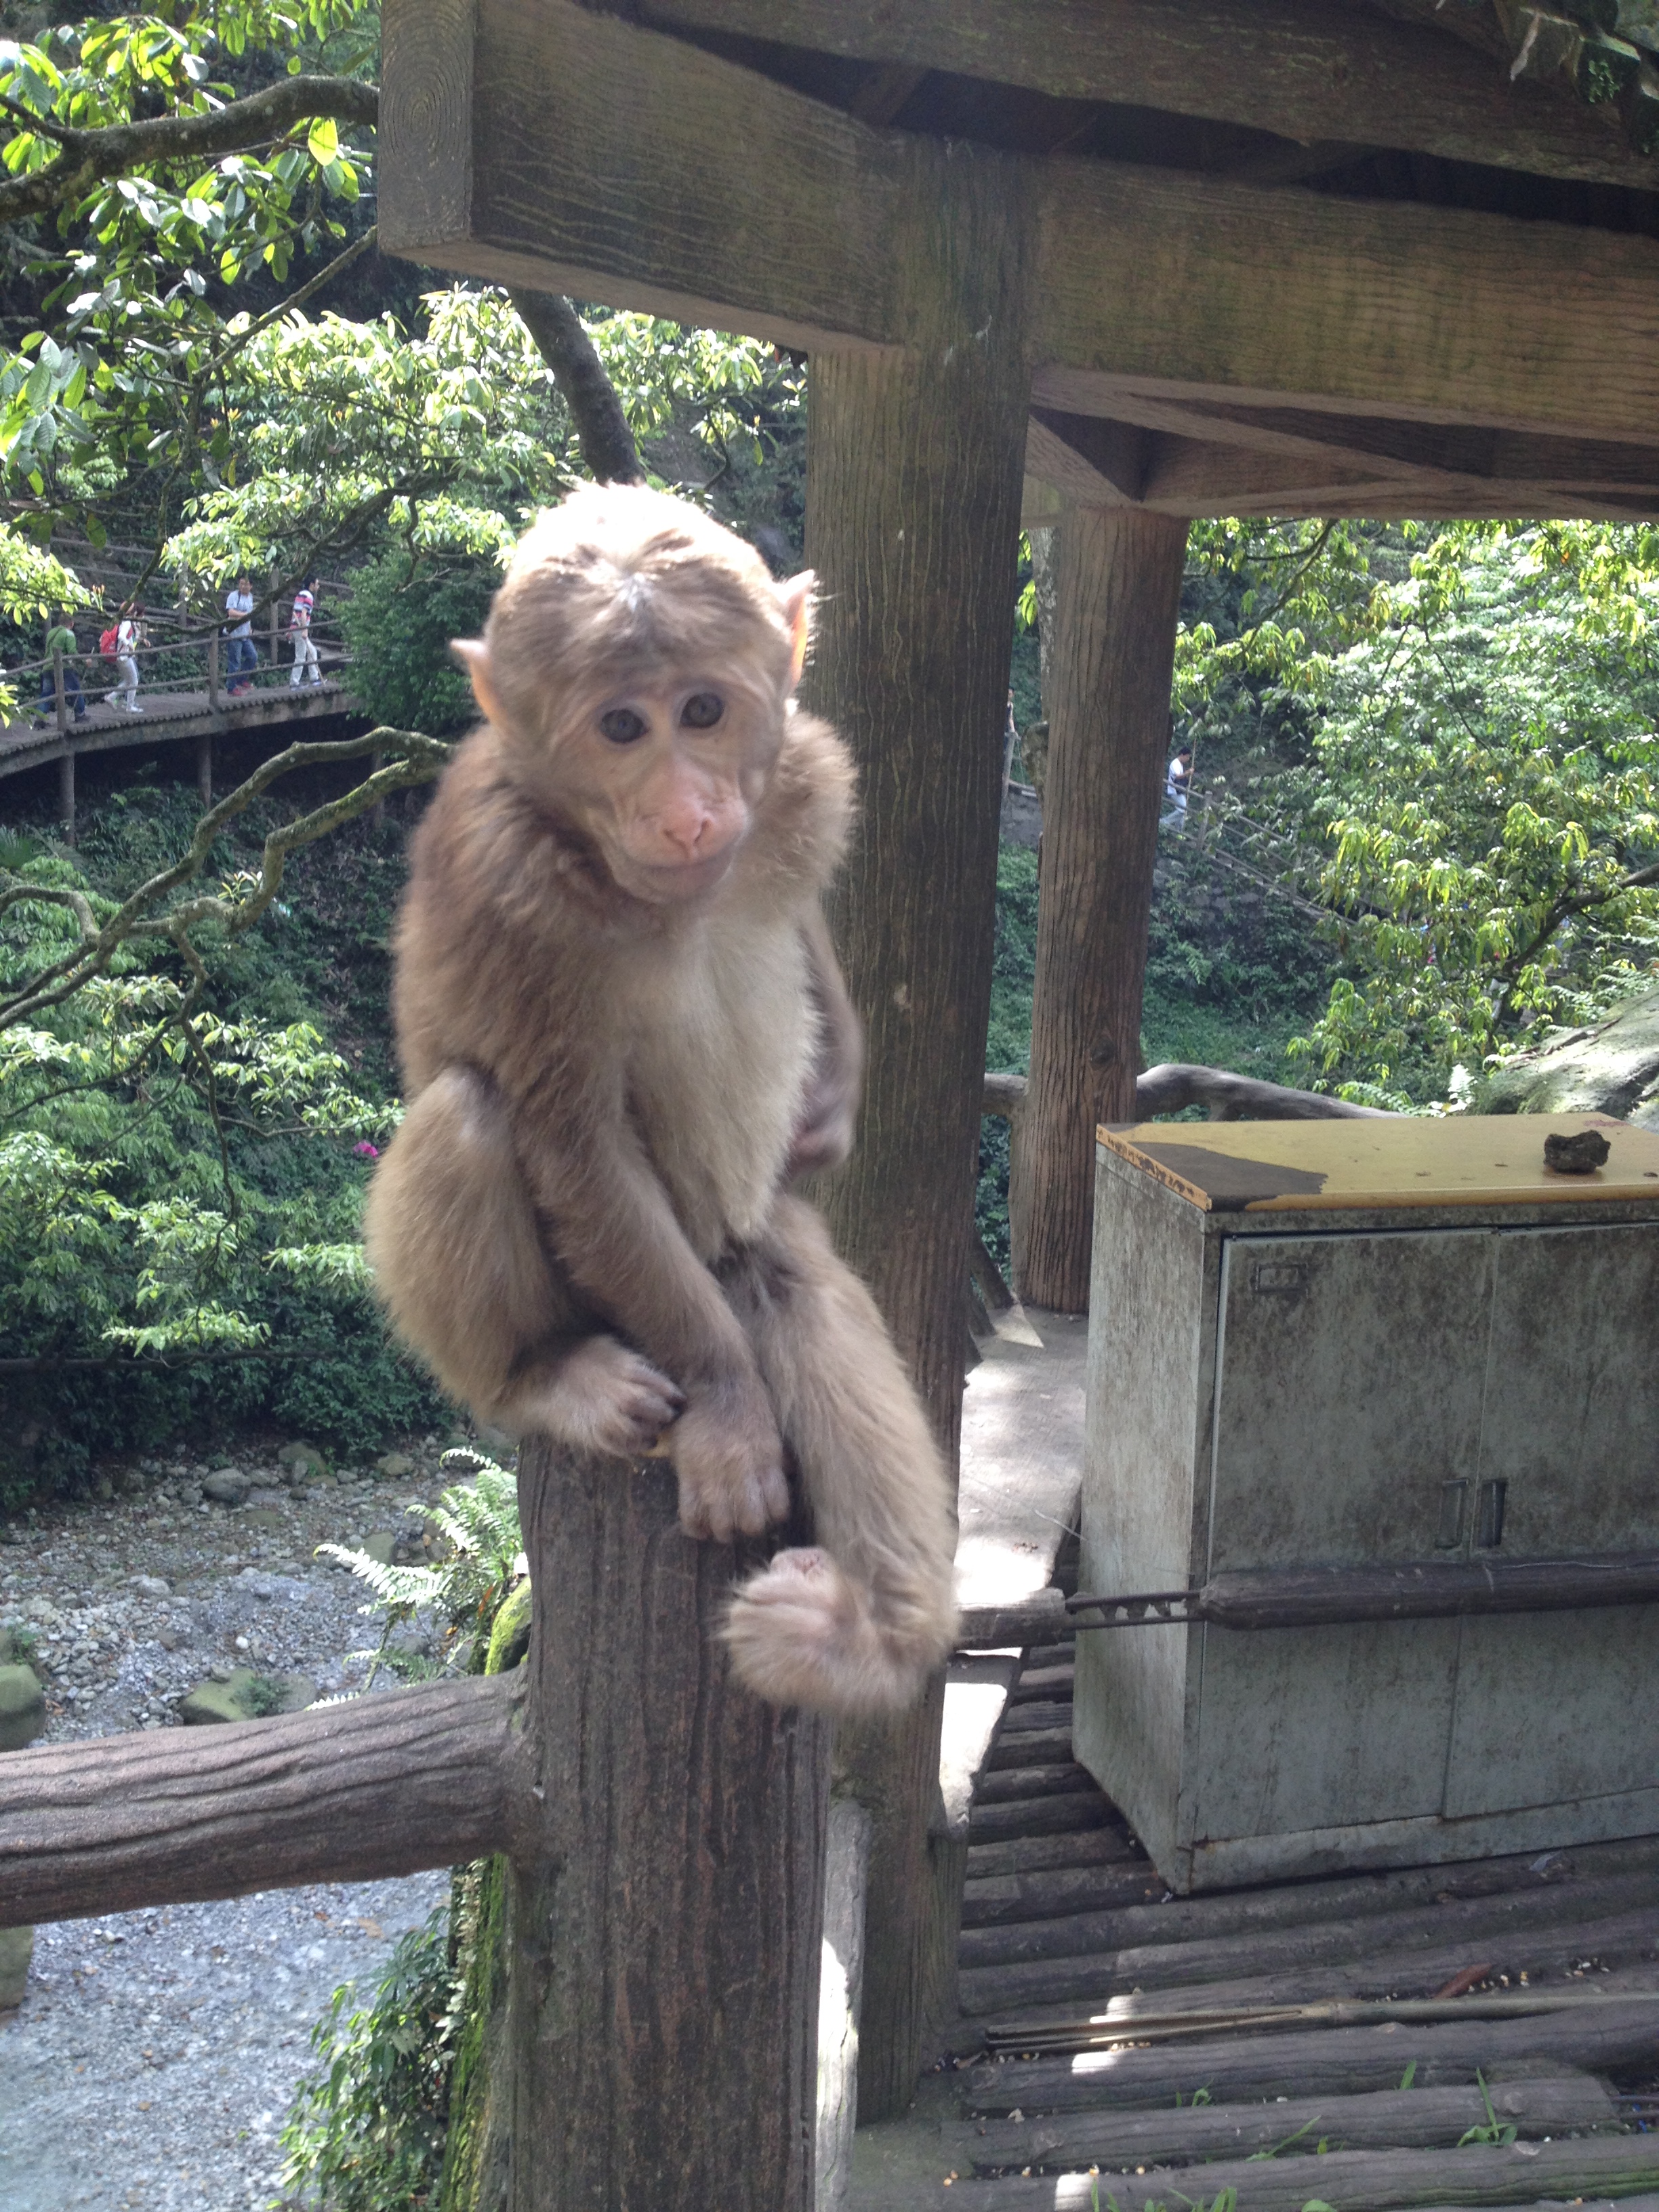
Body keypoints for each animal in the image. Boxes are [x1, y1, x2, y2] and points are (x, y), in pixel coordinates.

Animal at [362, 482, 958, 1716]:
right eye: (621, 729)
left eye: (703, 709)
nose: (686, 813)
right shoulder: (509, 892)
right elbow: (572, 1140)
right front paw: (727, 1406)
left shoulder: (802, 780)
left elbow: (802, 925)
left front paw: (832, 1093)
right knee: (468, 1116)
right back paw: (547, 1377)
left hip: (734, 1245)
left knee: (797, 1286)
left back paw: (875, 1636)